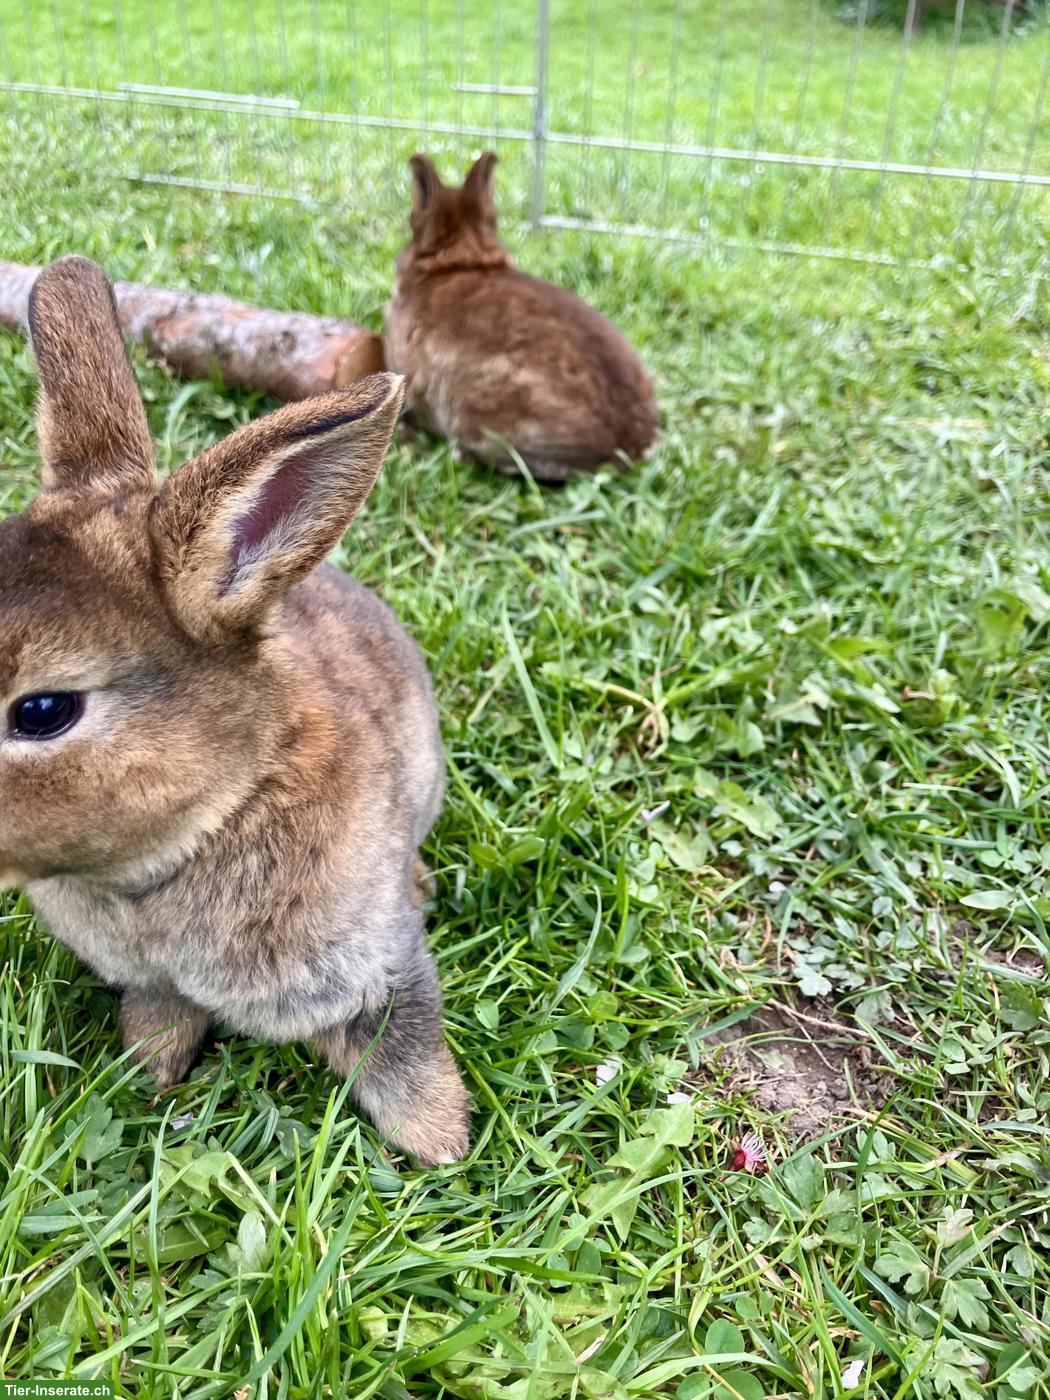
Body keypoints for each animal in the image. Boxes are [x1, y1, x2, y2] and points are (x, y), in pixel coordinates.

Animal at [0, 254, 470, 1166]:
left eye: (41, 712)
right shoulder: (153, 982)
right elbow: (159, 1019)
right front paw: (151, 1076)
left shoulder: (378, 963)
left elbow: (401, 1050)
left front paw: (442, 1141)